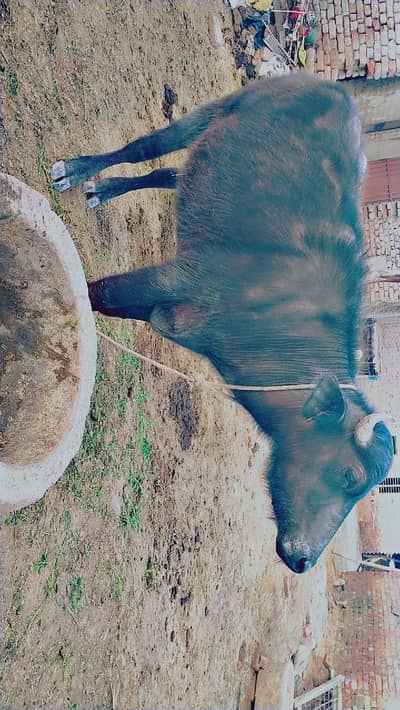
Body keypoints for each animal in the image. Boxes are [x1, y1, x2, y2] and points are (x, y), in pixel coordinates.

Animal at [52, 75, 394, 573]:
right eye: (349, 475)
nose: (304, 560)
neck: (280, 324)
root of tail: (331, 89)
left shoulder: (166, 312)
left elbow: (110, 305)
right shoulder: (174, 277)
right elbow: (98, 294)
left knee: (172, 174)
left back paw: (104, 189)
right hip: (213, 110)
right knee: (148, 146)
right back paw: (78, 172)